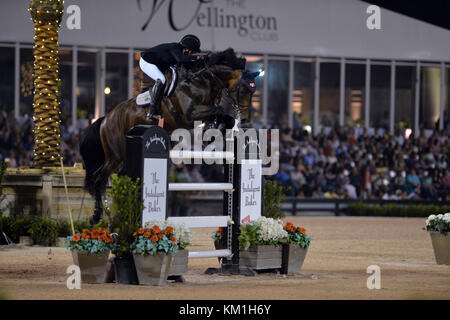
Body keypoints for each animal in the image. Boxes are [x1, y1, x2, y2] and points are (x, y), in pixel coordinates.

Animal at [79, 48, 258, 225]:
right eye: (243, 90)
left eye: (252, 92)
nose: (245, 119)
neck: (204, 81)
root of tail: (106, 118)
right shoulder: (189, 115)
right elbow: (218, 110)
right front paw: (212, 129)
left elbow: (223, 116)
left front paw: (214, 130)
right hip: (115, 155)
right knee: (99, 180)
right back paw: (97, 216)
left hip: (121, 158)